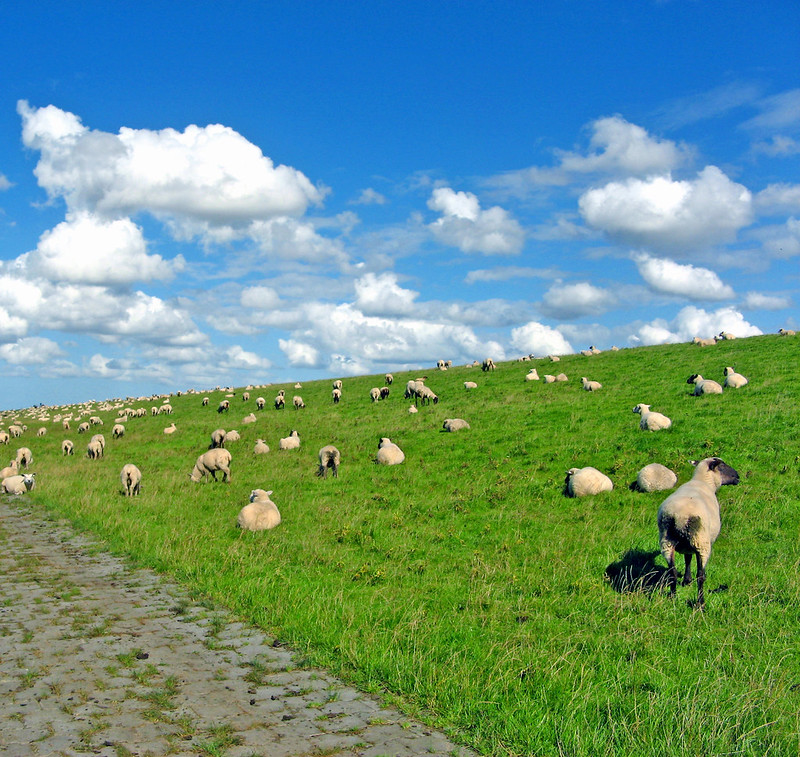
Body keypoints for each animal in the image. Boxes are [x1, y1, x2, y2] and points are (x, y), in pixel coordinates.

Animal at [660, 454, 740, 608]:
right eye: (722, 466)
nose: (738, 477)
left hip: (667, 542)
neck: (703, 481)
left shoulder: (687, 545)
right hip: (701, 542)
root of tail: (680, 517)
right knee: (700, 576)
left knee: (672, 572)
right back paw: (701, 603)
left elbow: (687, 558)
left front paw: (686, 580)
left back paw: (673, 597)